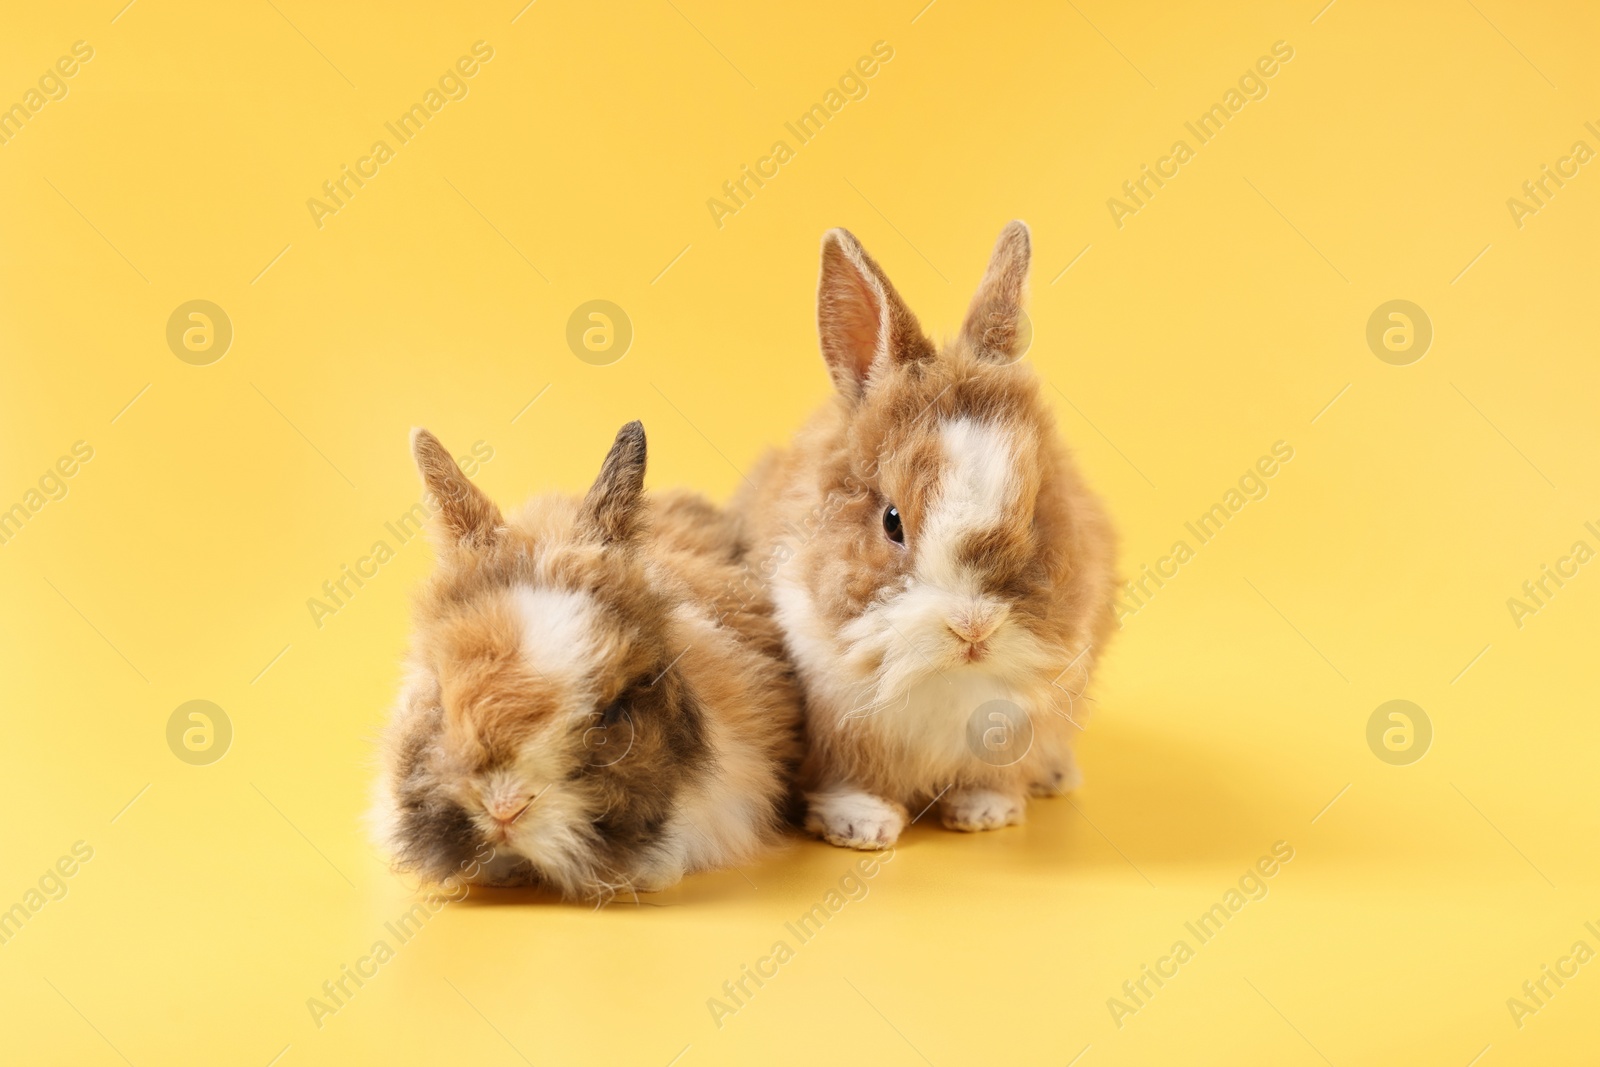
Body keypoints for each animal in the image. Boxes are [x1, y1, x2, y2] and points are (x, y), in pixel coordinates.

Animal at [732, 223, 1113, 851]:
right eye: (892, 521)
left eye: (1037, 513)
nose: (974, 628)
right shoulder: (836, 726)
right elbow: (849, 780)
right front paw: (861, 826)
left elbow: (992, 777)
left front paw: (985, 813)